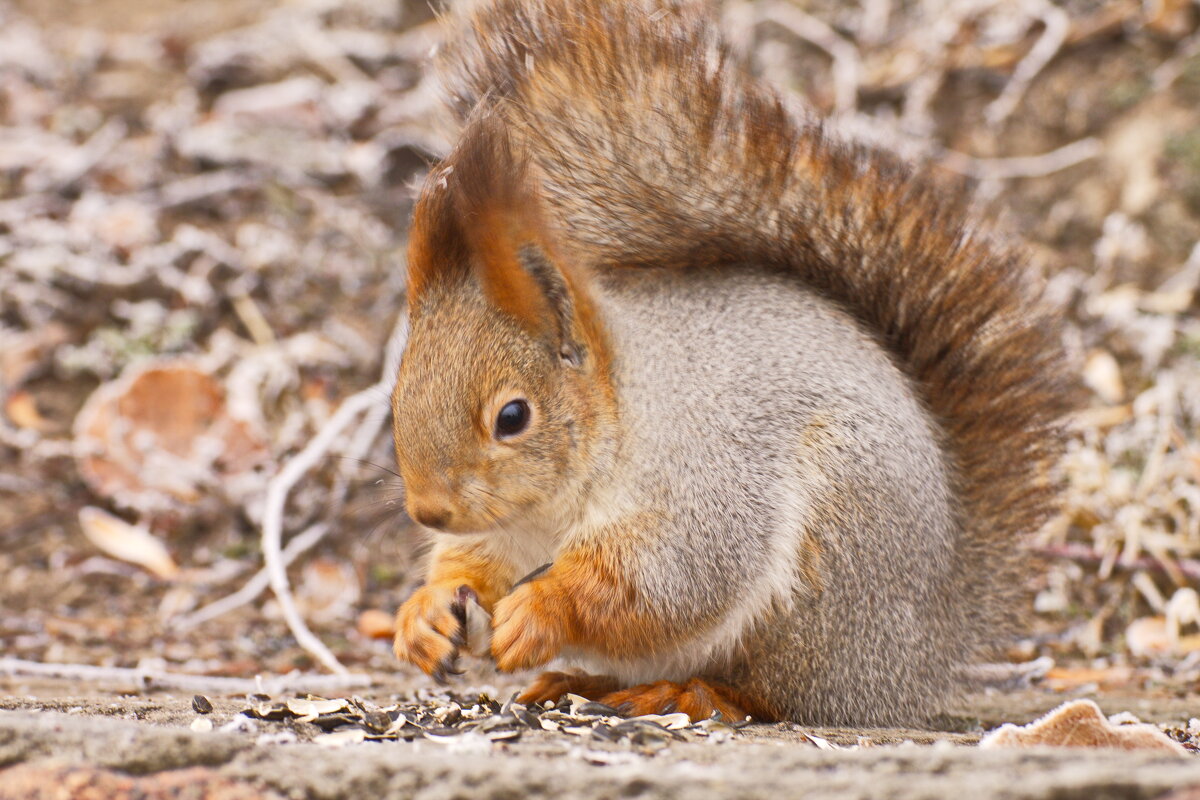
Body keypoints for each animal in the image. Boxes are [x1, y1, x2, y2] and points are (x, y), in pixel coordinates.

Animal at [391, 0, 1080, 724]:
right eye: (397, 395)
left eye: (513, 417)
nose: (428, 511)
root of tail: (921, 657)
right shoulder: (499, 533)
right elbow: (469, 565)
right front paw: (425, 615)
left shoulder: (702, 491)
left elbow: (663, 585)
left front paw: (539, 612)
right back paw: (582, 681)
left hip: (826, 575)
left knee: (777, 692)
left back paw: (689, 691)